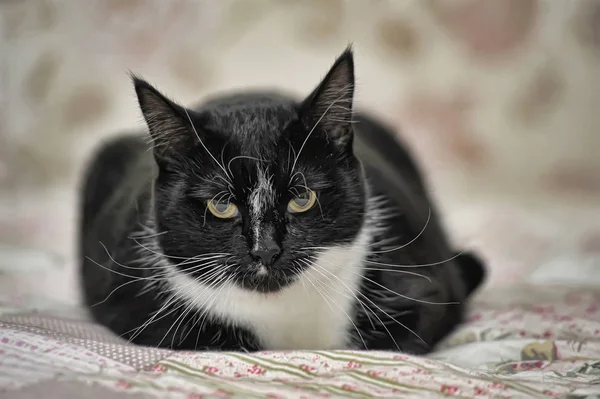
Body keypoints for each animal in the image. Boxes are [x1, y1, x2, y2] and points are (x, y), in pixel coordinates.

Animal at [79, 48, 486, 354]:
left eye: (302, 198)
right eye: (221, 205)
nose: (265, 250)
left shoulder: (423, 282)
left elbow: (403, 337)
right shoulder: (132, 305)